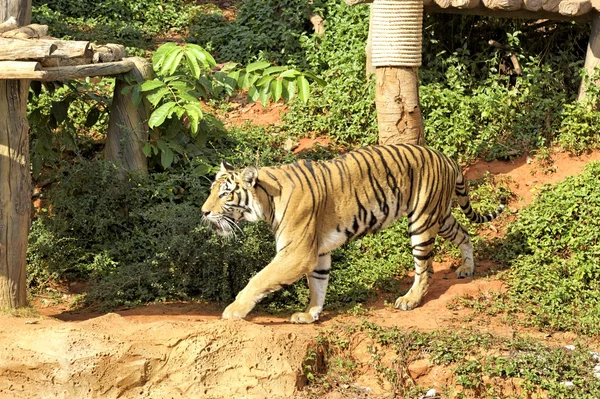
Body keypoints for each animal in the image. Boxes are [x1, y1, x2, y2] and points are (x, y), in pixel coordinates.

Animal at [202, 144, 506, 324]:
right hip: (439, 216)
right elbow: (318, 285)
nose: (204, 212)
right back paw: (467, 268)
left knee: (425, 268)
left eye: (225, 194)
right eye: (211, 191)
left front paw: (234, 310)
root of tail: (446, 157)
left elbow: (259, 279)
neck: (267, 201)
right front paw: (310, 314)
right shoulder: (318, 253)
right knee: (464, 233)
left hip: (422, 221)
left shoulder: (296, 253)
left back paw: (410, 300)